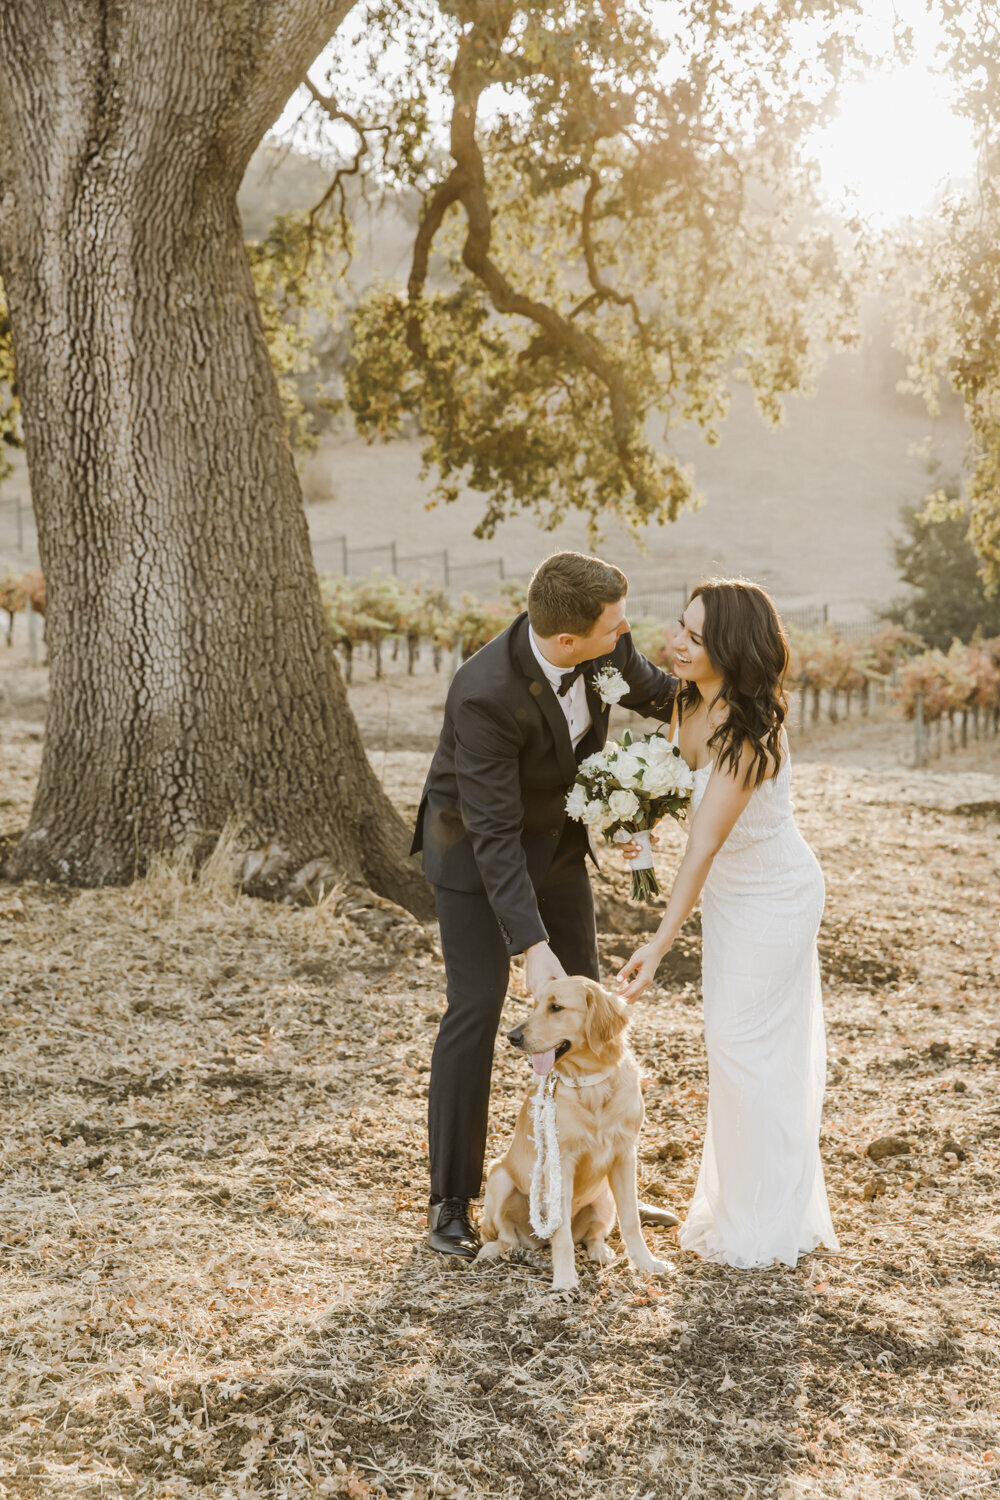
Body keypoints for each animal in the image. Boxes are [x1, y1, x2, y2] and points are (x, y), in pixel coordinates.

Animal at [479, 972, 671, 1290]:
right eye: (535, 1005)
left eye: (556, 1007)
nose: (512, 1037)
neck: (591, 1083)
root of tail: (536, 1241)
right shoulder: (561, 1163)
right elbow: (562, 1235)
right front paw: (565, 1281)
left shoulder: (624, 1156)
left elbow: (631, 1220)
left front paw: (646, 1263)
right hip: (499, 1177)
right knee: (506, 1237)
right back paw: (493, 1249)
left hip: (604, 1195)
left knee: (592, 1234)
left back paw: (601, 1250)